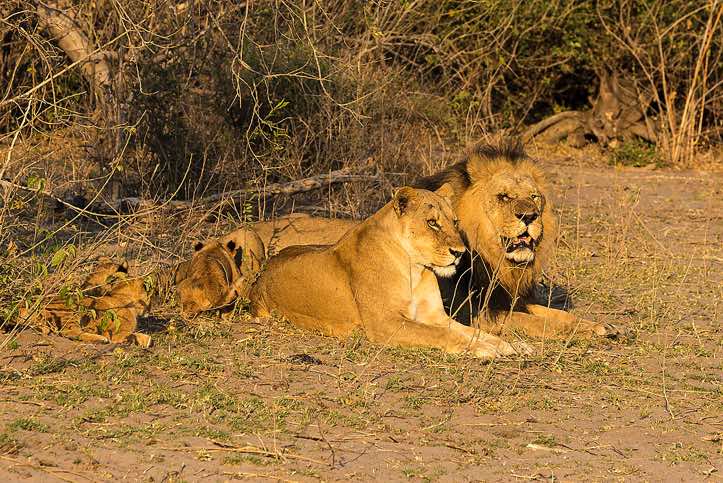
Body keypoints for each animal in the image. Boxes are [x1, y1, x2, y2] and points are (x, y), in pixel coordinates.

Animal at [249, 186, 528, 359]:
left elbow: (474, 331)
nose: (460, 252)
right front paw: (482, 350)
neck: (414, 268)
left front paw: (509, 345)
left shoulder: (435, 316)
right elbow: (440, 334)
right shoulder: (385, 323)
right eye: (432, 223)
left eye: (455, 222)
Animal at [415, 139, 611, 338]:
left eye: (534, 196)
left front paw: (594, 325)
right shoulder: (470, 313)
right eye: (504, 197)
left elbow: (554, 312)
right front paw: (576, 331)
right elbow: (535, 321)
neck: (494, 261)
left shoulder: (506, 298)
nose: (529, 216)